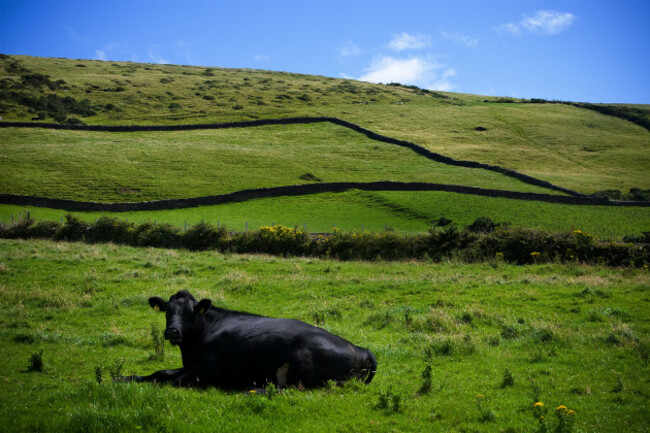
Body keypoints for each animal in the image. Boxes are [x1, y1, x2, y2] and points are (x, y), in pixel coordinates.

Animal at [120, 290, 374, 388]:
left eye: (191, 312)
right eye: (167, 310)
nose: (172, 332)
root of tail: (362, 349)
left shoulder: (206, 370)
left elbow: (171, 381)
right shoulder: (191, 366)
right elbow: (160, 373)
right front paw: (123, 377)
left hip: (302, 364)